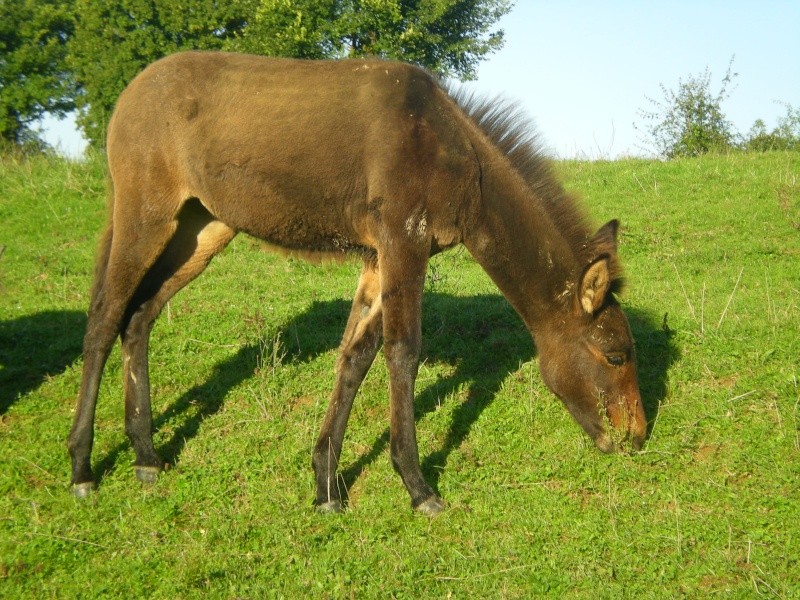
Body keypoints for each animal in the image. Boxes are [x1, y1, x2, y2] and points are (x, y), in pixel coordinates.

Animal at [67, 52, 644, 516]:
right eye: (616, 354)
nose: (635, 437)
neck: (455, 156)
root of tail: (129, 94)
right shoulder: (404, 242)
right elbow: (402, 351)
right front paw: (417, 486)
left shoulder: (377, 258)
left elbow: (355, 357)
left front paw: (325, 485)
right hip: (146, 216)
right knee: (104, 317)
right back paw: (82, 468)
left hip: (201, 228)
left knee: (140, 316)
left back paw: (146, 456)